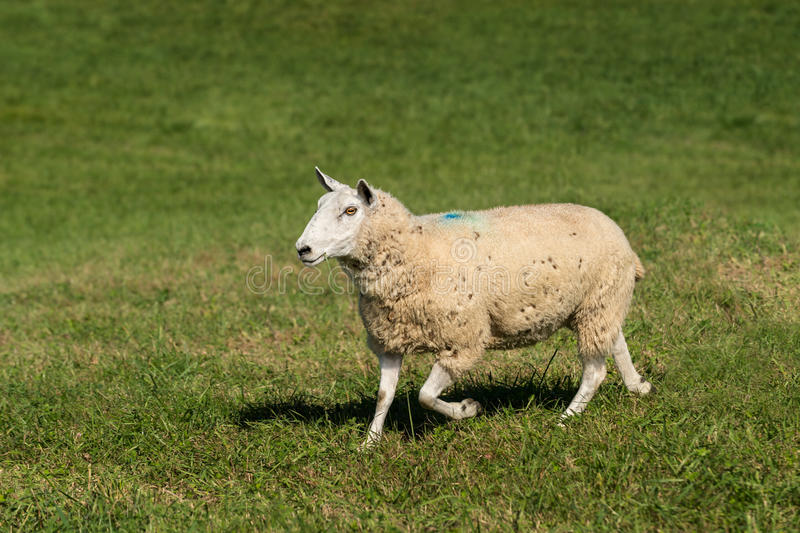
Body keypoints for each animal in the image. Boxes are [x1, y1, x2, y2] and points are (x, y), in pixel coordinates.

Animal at [294, 168, 648, 446]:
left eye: (351, 210)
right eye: (319, 206)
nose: (302, 248)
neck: (415, 249)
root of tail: (617, 231)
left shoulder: (463, 339)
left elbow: (425, 396)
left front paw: (467, 409)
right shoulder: (390, 339)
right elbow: (385, 394)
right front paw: (370, 442)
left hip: (599, 303)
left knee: (595, 371)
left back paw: (566, 418)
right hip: (598, 304)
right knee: (616, 343)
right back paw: (638, 387)